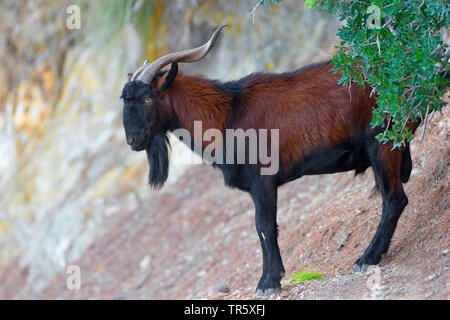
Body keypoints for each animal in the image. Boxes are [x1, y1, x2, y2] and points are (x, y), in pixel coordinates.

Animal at [121, 26, 420, 296]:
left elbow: (264, 227)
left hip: (383, 144)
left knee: (394, 199)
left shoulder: (262, 181)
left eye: (147, 98)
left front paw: (268, 282)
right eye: (125, 100)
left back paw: (366, 258)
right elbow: (264, 229)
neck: (227, 114)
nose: (133, 140)